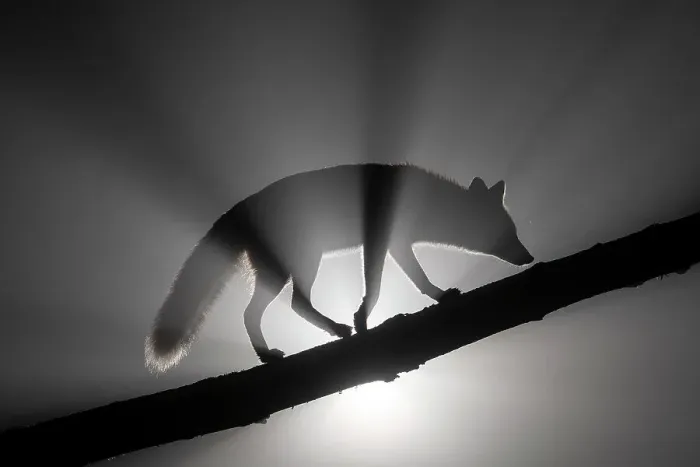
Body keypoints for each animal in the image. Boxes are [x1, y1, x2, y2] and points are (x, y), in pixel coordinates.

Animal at [145, 163, 534, 373]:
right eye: (507, 233)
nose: (528, 256)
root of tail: (241, 206)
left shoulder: (397, 245)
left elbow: (419, 279)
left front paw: (441, 297)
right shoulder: (376, 241)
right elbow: (375, 287)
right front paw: (361, 320)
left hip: (282, 271)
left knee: (255, 312)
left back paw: (268, 355)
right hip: (299, 264)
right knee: (290, 305)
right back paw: (334, 330)